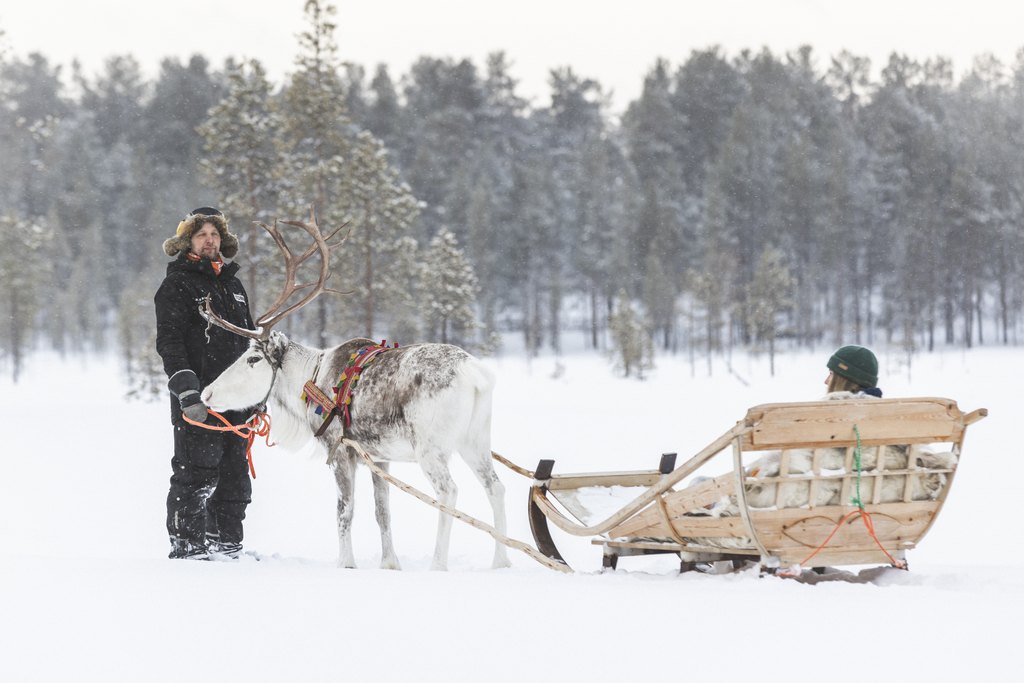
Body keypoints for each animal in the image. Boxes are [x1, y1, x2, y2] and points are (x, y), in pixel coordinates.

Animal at [198, 209, 510, 571]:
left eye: (252, 359)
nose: (206, 394)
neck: (309, 379)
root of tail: (476, 375)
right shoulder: (379, 457)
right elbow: (382, 511)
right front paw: (390, 564)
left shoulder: (340, 449)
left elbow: (344, 511)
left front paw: (346, 563)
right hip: (475, 440)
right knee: (496, 487)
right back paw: (501, 561)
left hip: (431, 448)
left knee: (449, 492)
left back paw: (438, 564)